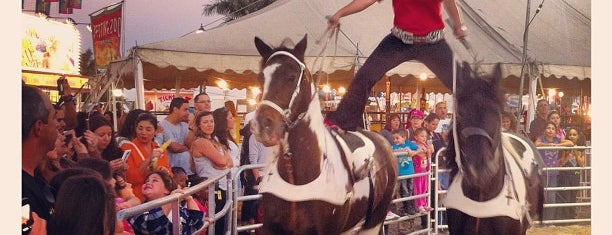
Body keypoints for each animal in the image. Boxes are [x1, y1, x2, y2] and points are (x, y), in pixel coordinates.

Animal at [251, 35, 400, 235]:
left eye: (291, 77)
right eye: (261, 78)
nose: (262, 125)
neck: (298, 180)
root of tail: (383, 142)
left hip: (375, 220)